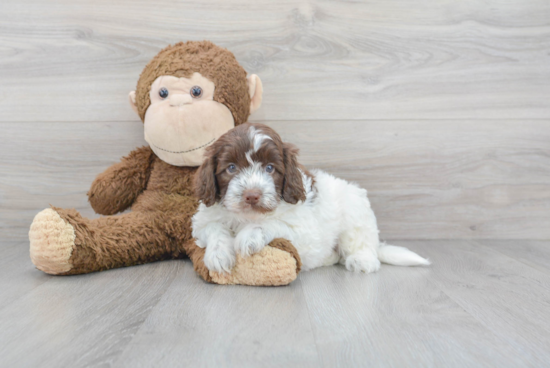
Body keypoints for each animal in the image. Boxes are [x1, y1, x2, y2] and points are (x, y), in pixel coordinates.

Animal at [192, 123, 434, 274]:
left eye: (270, 168)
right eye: (231, 168)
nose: (252, 195)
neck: (248, 216)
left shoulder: (302, 230)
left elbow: (272, 223)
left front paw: (248, 236)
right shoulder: (203, 220)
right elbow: (214, 228)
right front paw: (218, 254)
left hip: (356, 213)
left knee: (362, 244)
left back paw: (362, 260)